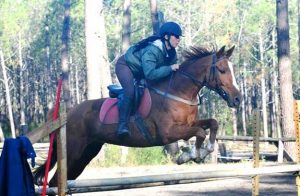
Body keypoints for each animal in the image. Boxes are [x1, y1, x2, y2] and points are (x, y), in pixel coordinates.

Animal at [34, 45, 243, 186]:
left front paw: (204, 150)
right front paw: (191, 155)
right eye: (222, 70)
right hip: (73, 151)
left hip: (87, 153)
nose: (238, 99)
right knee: (55, 181)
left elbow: (212, 124)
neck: (179, 92)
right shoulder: (168, 133)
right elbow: (200, 132)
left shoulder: (189, 123)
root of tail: (65, 114)